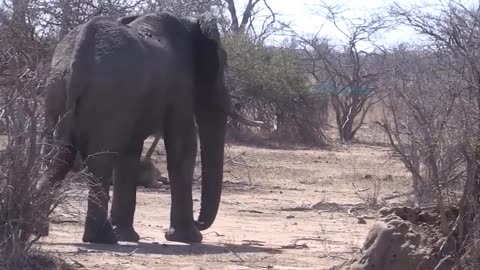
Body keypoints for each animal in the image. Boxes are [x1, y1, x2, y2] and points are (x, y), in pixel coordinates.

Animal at [36, 12, 232, 245]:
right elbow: (183, 146)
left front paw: (128, 236)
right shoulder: (181, 88)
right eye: (222, 64)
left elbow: (131, 152)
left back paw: (36, 228)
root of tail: (78, 55)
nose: (199, 222)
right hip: (109, 94)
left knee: (56, 156)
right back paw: (103, 238)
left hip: (56, 87)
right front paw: (189, 238)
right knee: (99, 160)